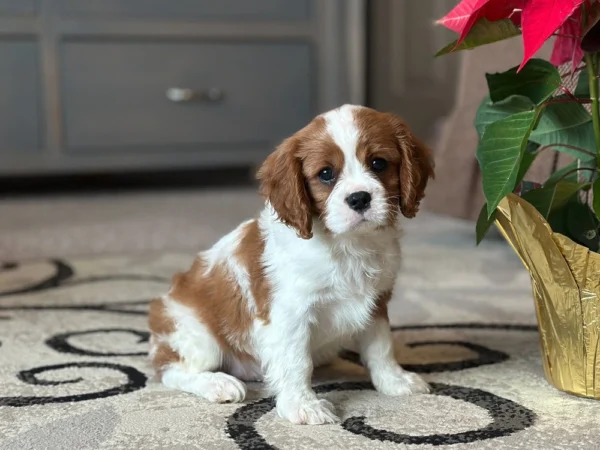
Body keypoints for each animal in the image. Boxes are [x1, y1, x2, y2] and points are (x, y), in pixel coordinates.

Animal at [148, 104, 434, 426]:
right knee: (170, 370)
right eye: (326, 174)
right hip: (196, 334)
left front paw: (394, 381)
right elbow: (297, 361)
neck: (347, 245)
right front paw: (303, 405)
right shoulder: (291, 313)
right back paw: (217, 383)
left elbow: (381, 346)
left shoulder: (377, 303)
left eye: (378, 163)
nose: (359, 198)